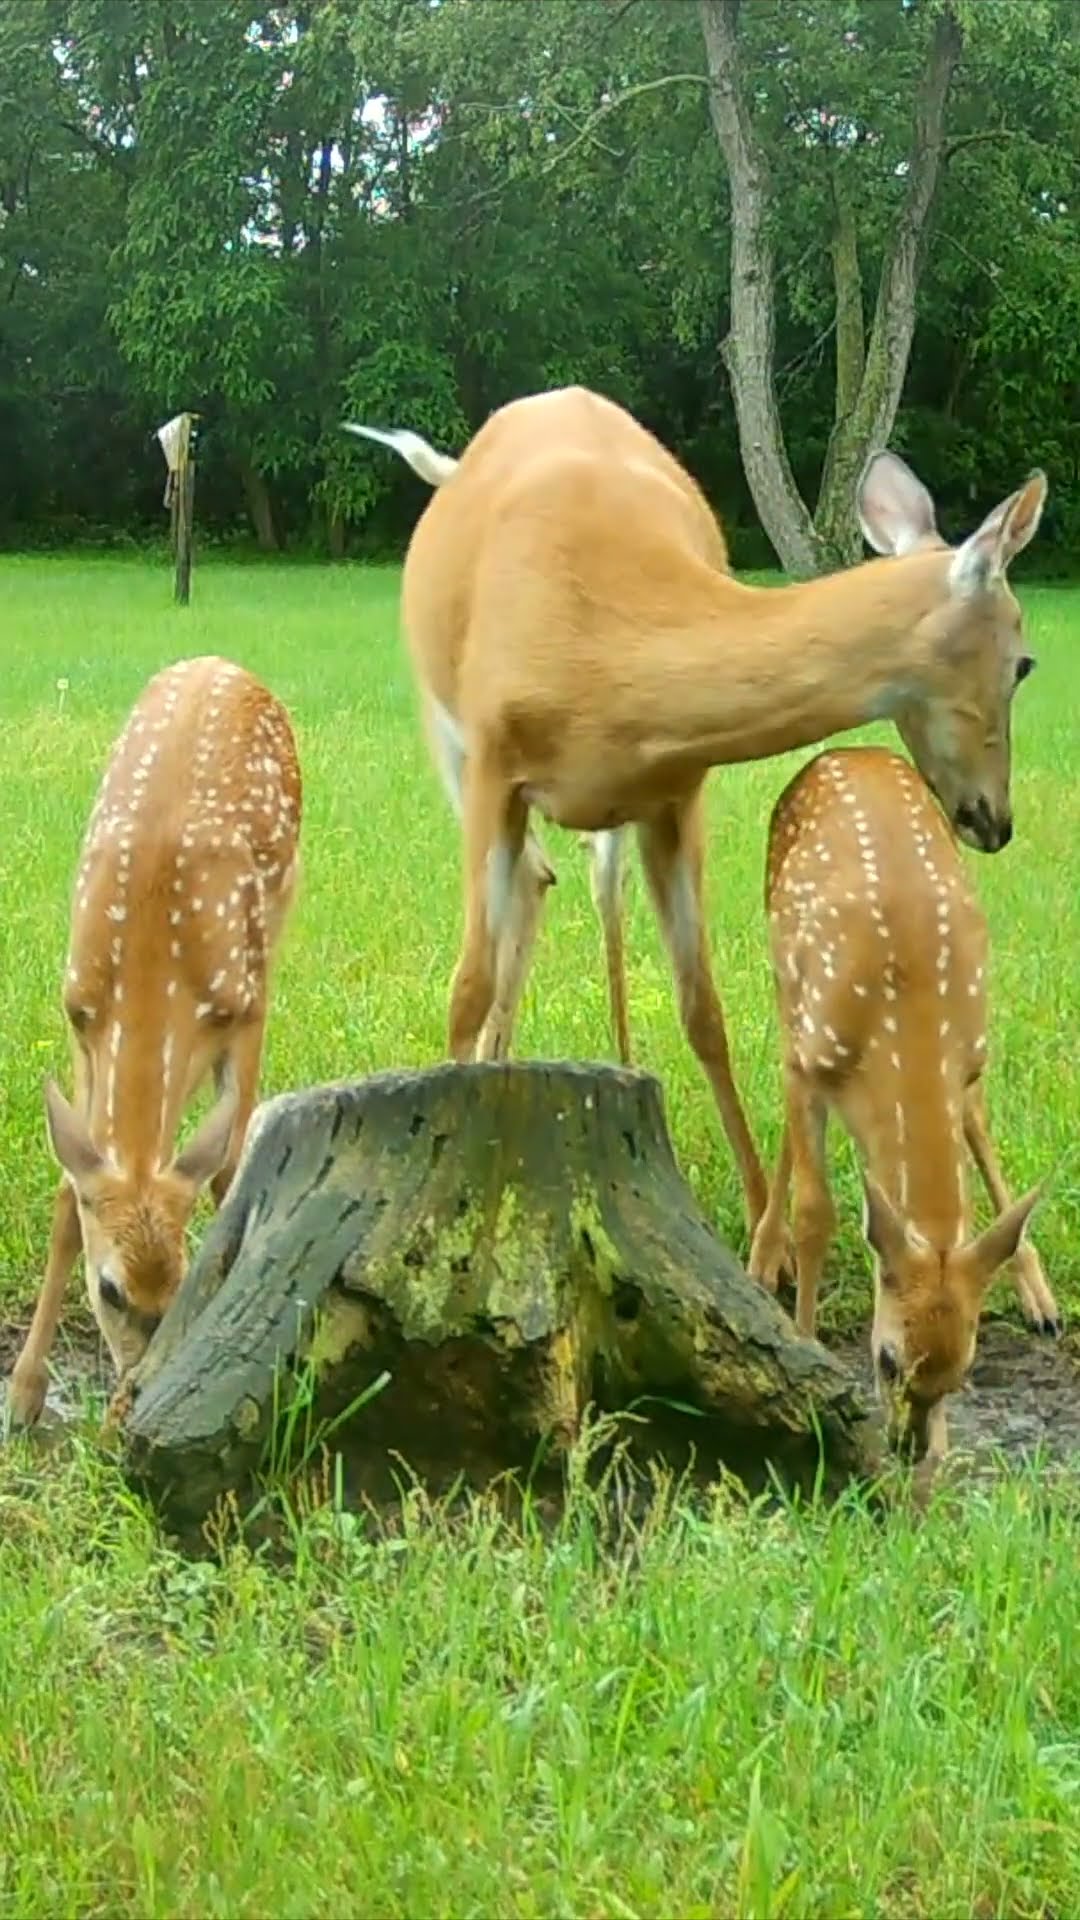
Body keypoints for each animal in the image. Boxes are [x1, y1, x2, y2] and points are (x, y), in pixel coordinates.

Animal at [6, 660, 299, 1428]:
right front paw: (23, 1394)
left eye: (178, 1294)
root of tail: (220, 662)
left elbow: (228, 1172)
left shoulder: (245, 1007)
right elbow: (65, 1197)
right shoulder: (79, 1018)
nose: (132, 1386)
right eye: (111, 1290)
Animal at [340, 382, 1037, 1236]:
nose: (994, 820)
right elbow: (465, 984)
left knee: (558, 883)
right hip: (445, 734)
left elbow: (704, 1010)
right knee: (525, 890)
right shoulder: (492, 766)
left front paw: (765, 1224)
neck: (603, 647)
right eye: (1025, 662)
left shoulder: (678, 792)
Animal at [745, 741, 1053, 1459]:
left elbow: (977, 1132)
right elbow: (816, 1211)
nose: (910, 1447)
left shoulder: (968, 1056)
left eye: (962, 1370)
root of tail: (849, 748)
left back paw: (1041, 1299)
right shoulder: (813, 1056)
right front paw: (803, 1346)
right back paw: (763, 1259)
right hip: (783, 971)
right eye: (886, 1360)